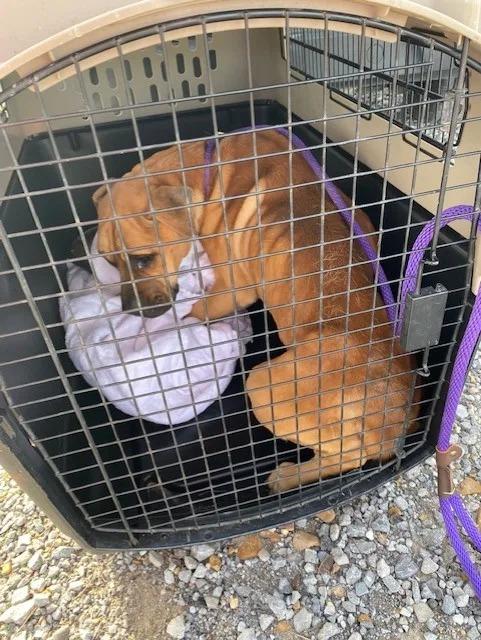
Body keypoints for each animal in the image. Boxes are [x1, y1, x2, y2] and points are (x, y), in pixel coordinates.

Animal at [94, 129, 416, 490]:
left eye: (143, 259)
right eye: (109, 261)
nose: (131, 310)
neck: (207, 169)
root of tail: (390, 421)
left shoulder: (225, 292)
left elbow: (192, 312)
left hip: (265, 386)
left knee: (348, 455)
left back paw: (290, 476)